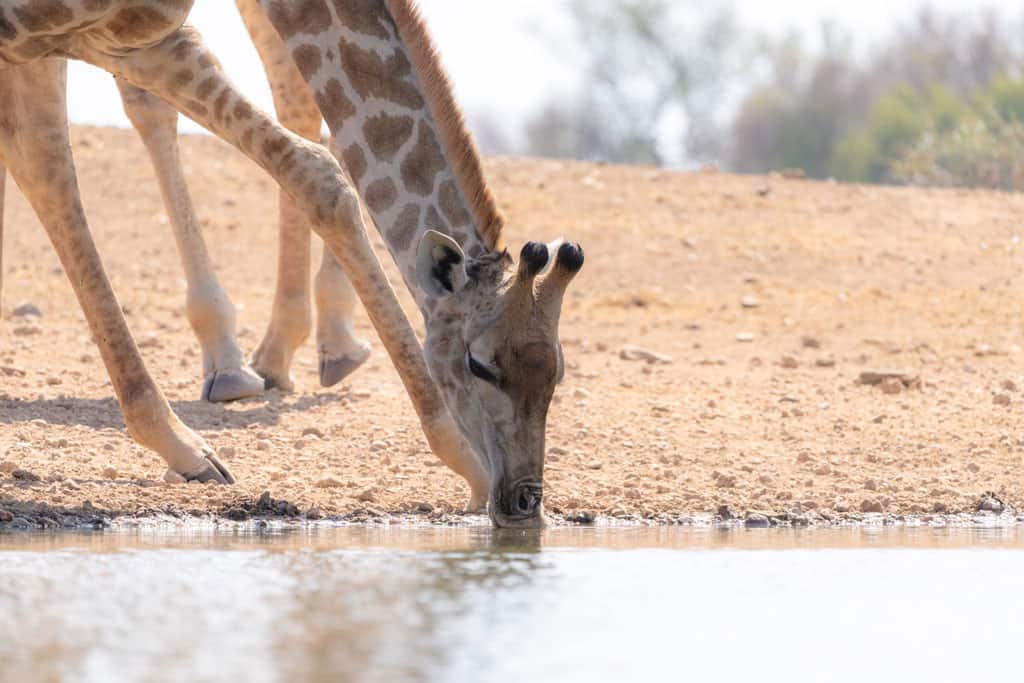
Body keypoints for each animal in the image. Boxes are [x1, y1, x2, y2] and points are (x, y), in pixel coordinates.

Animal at [2, 0, 585, 528]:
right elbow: (50, 160)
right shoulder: (51, 34)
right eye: (478, 364)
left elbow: (318, 171)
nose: (524, 500)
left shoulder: (126, 38)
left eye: (557, 370)